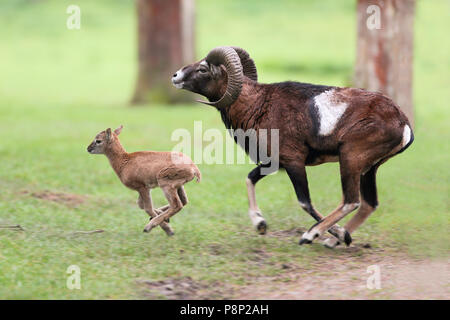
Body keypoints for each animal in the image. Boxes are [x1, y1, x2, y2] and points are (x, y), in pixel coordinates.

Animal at [172, 46, 414, 248]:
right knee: (368, 204)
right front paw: (260, 225)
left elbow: (305, 202)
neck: (258, 105)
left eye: (203, 69)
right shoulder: (274, 163)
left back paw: (312, 236)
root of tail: (403, 124)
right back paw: (334, 241)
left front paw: (326, 234)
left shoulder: (294, 162)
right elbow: (250, 179)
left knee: (351, 201)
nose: (175, 76)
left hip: (351, 160)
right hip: (369, 169)